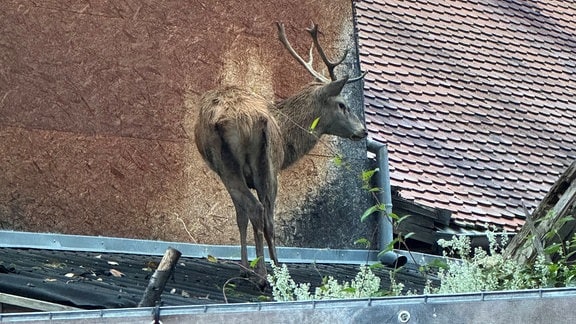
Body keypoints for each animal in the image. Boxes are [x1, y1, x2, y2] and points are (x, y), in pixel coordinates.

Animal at [194, 21, 364, 284]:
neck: (286, 139)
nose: (363, 130)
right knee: (263, 213)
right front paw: (253, 267)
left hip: (235, 164)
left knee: (258, 211)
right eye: (342, 105)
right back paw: (268, 272)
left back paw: (264, 273)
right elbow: (249, 218)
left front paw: (246, 267)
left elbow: (241, 217)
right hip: (259, 163)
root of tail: (245, 119)